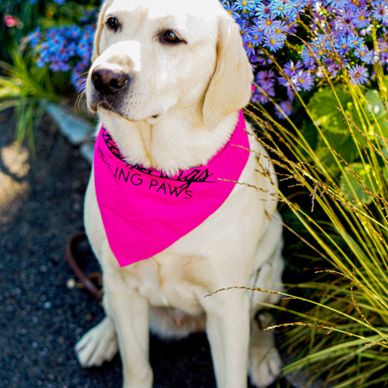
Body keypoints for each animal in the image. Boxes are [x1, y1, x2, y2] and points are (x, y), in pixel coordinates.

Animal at [76, 0, 284, 388]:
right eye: (113, 23)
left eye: (171, 37)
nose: (105, 77)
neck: (161, 174)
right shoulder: (124, 288)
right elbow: (137, 367)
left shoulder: (226, 305)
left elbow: (231, 373)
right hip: (113, 286)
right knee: (109, 308)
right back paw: (102, 337)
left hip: (268, 273)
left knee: (260, 319)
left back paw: (261, 354)